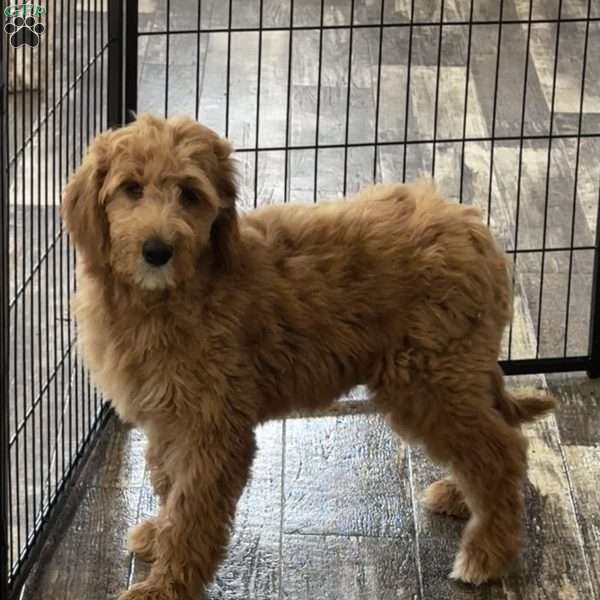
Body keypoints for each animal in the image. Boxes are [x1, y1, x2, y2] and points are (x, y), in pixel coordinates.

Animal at [63, 113, 556, 600]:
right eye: (131, 188)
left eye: (189, 194)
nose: (157, 251)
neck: (168, 296)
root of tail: (474, 228)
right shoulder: (170, 417)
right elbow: (169, 487)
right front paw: (159, 538)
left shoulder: (212, 426)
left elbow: (191, 511)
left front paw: (164, 586)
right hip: (454, 373)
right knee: (494, 436)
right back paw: (460, 495)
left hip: (428, 379)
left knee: (500, 451)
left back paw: (487, 553)